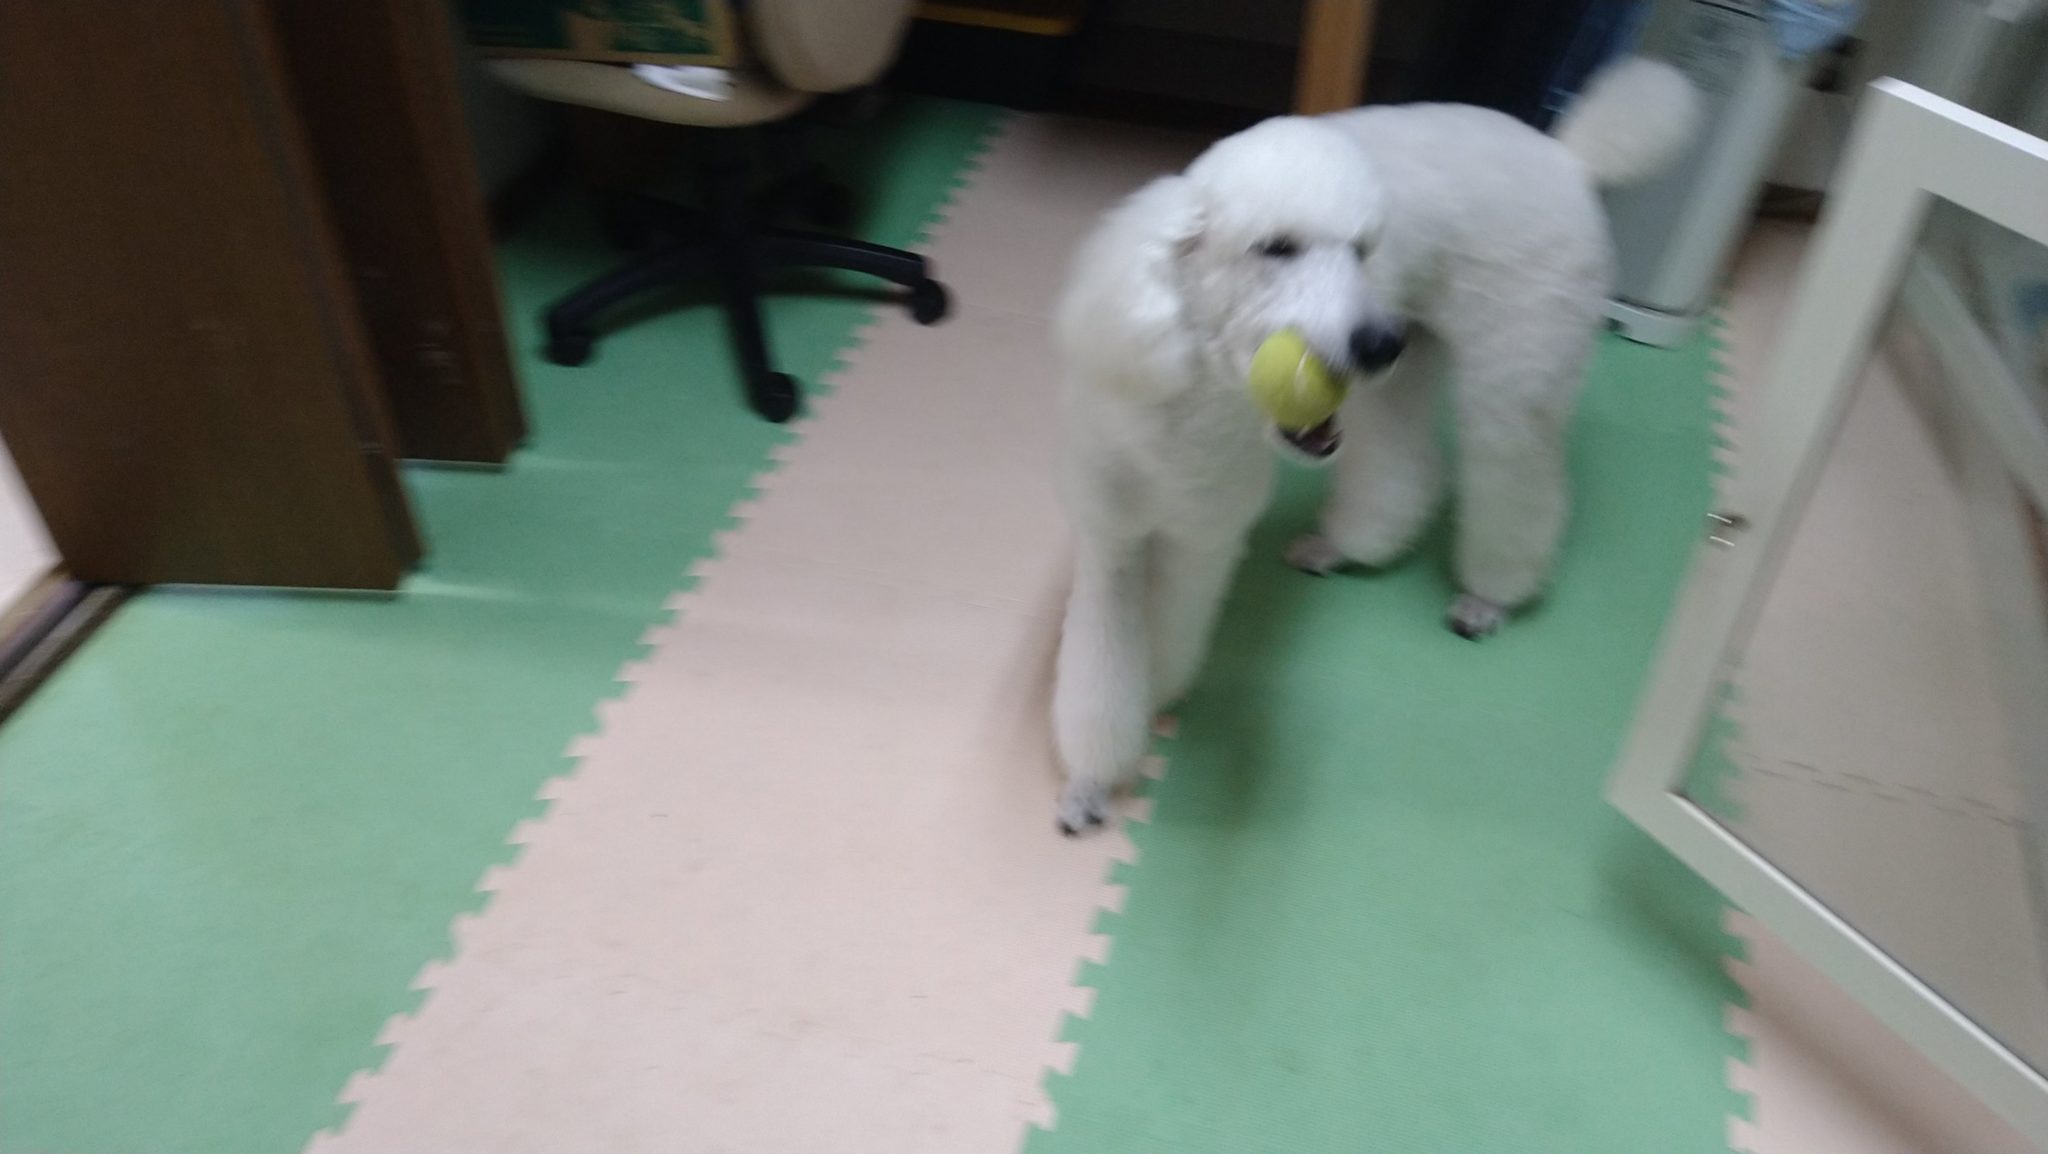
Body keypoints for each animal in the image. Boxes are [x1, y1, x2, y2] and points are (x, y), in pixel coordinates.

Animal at [1049, 58, 1699, 833]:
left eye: (1363, 249)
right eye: (1276, 247)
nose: (1376, 341)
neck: (1191, 406)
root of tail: (1566, 155)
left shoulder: (1203, 538)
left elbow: (1167, 636)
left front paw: (1151, 707)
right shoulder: (1110, 531)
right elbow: (1100, 664)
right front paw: (1091, 779)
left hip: (1514, 375)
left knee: (1518, 485)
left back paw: (1489, 596)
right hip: (1409, 371)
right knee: (1406, 472)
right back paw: (1343, 547)